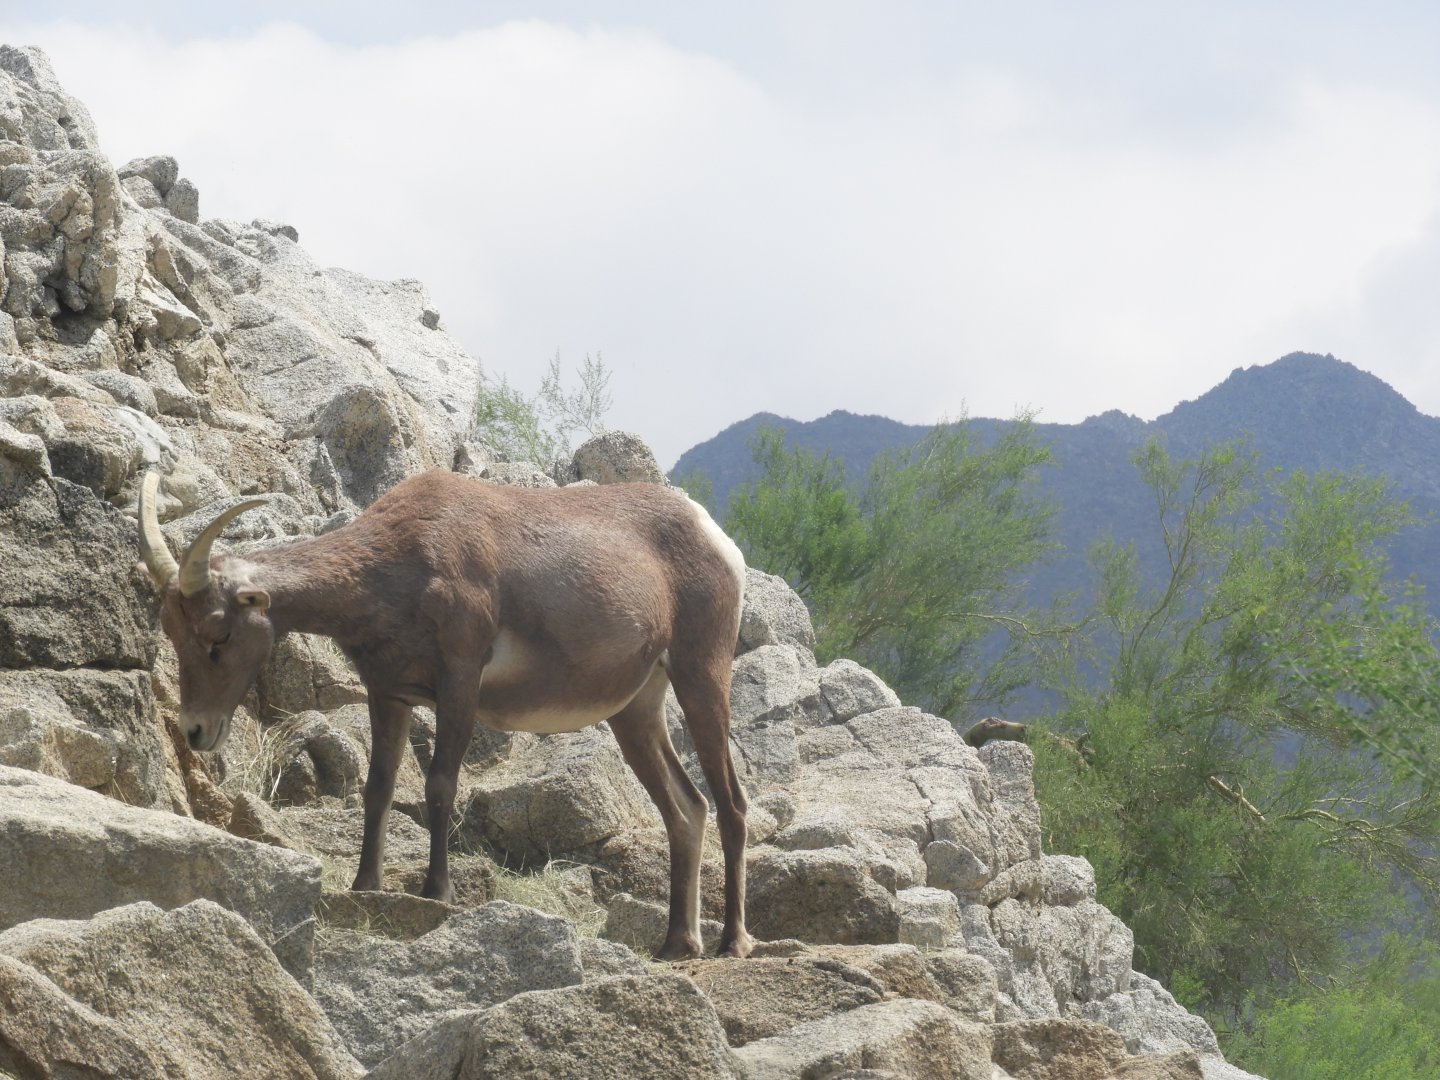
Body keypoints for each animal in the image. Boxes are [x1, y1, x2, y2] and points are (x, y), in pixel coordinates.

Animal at [136, 468, 753, 960]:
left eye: (218, 635)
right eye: (172, 630)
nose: (197, 730)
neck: (400, 562)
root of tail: (717, 539)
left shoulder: (460, 683)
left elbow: (439, 785)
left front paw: (437, 892)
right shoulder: (390, 694)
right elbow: (380, 787)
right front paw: (365, 884)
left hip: (701, 678)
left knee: (731, 804)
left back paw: (733, 942)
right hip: (636, 714)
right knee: (687, 809)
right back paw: (678, 944)